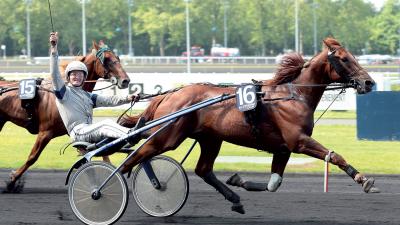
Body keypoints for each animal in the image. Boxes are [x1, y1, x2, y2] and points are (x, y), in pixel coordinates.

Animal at [0, 40, 130, 192]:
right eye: (107, 60)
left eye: (118, 57)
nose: (125, 80)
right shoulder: (45, 132)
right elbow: (32, 157)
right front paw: (12, 180)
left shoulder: (74, 132)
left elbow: (96, 155)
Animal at [118, 37, 378, 214]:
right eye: (344, 59)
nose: (369, 82)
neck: (293, 95)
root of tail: (170, 94)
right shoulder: (298, 141)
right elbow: (334, 156)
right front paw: (364, 180)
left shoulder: (283, 148)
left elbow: (274, 183)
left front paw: (238, 181)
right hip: (167, 137)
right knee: (136, 155)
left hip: (211, 139)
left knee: (203, 170)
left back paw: (234, 198)